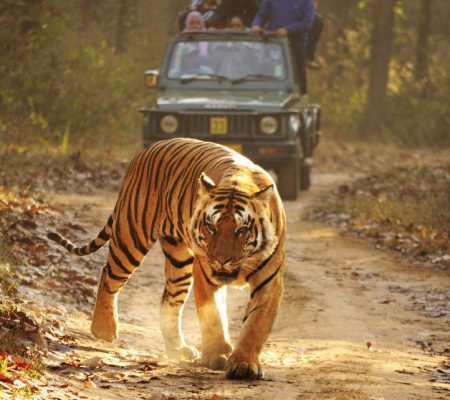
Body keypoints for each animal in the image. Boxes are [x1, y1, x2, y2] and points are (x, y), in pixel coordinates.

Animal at [48, 139, 284, 380]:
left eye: (242, 230)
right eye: (211, 226)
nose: (220, 260)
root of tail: (147, 149)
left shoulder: (269, 281)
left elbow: (256, 324)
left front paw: (244, 364)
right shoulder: (205, 274)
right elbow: (212, 317)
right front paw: (216, 356)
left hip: (179, 262)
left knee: (169, 301)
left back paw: (178, 349)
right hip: (131, 237)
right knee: (108, 274)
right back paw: (103, 329)